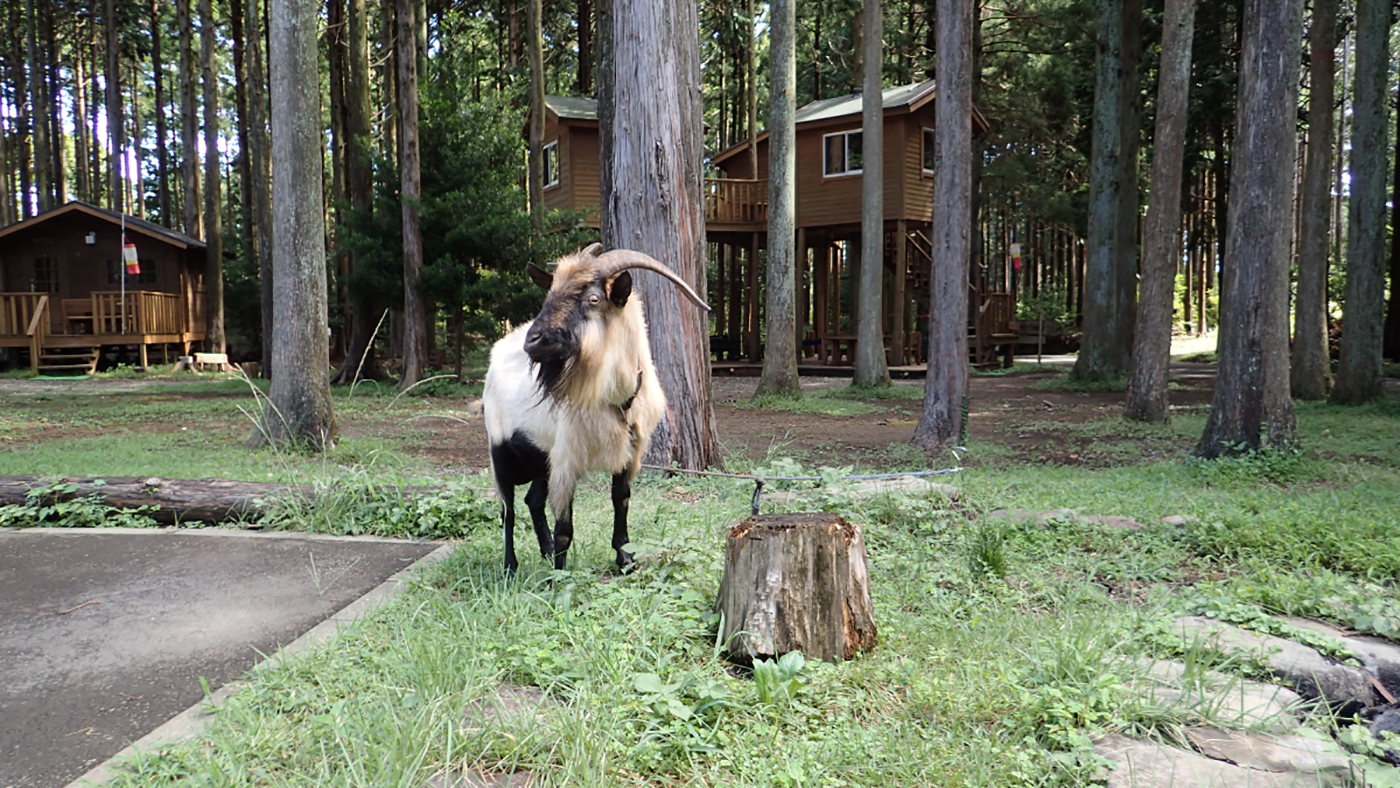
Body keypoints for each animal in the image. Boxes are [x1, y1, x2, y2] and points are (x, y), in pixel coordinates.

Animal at [487, 242, 716, 573]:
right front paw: (559, 576)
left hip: (543, 457)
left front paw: (625, 558)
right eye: (549, 292)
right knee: (508, 509)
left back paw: (544, 551)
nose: (532, 341)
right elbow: (564, 527)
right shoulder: (567, 459)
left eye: (593, 299)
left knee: (532, 500)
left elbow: (621, 499)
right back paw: (510, 567)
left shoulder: (629, 453)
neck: (617, 399)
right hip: (500, 449)